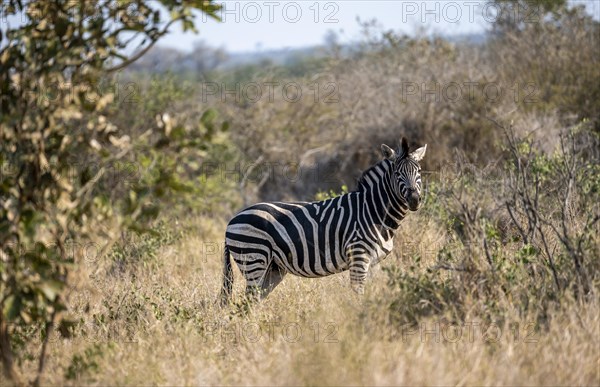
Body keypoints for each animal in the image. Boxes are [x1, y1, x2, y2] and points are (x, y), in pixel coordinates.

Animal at [220, 138, 426, 304]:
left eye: (419, 171)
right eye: (397, 174)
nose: (414, 199)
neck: (373, 210)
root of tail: (232, 219)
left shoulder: (372, 262)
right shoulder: (358, 255)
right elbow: (358, 295)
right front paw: (359, 318)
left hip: (273, 268)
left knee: (253, 302)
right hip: (254, 258)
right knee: (248, 301)